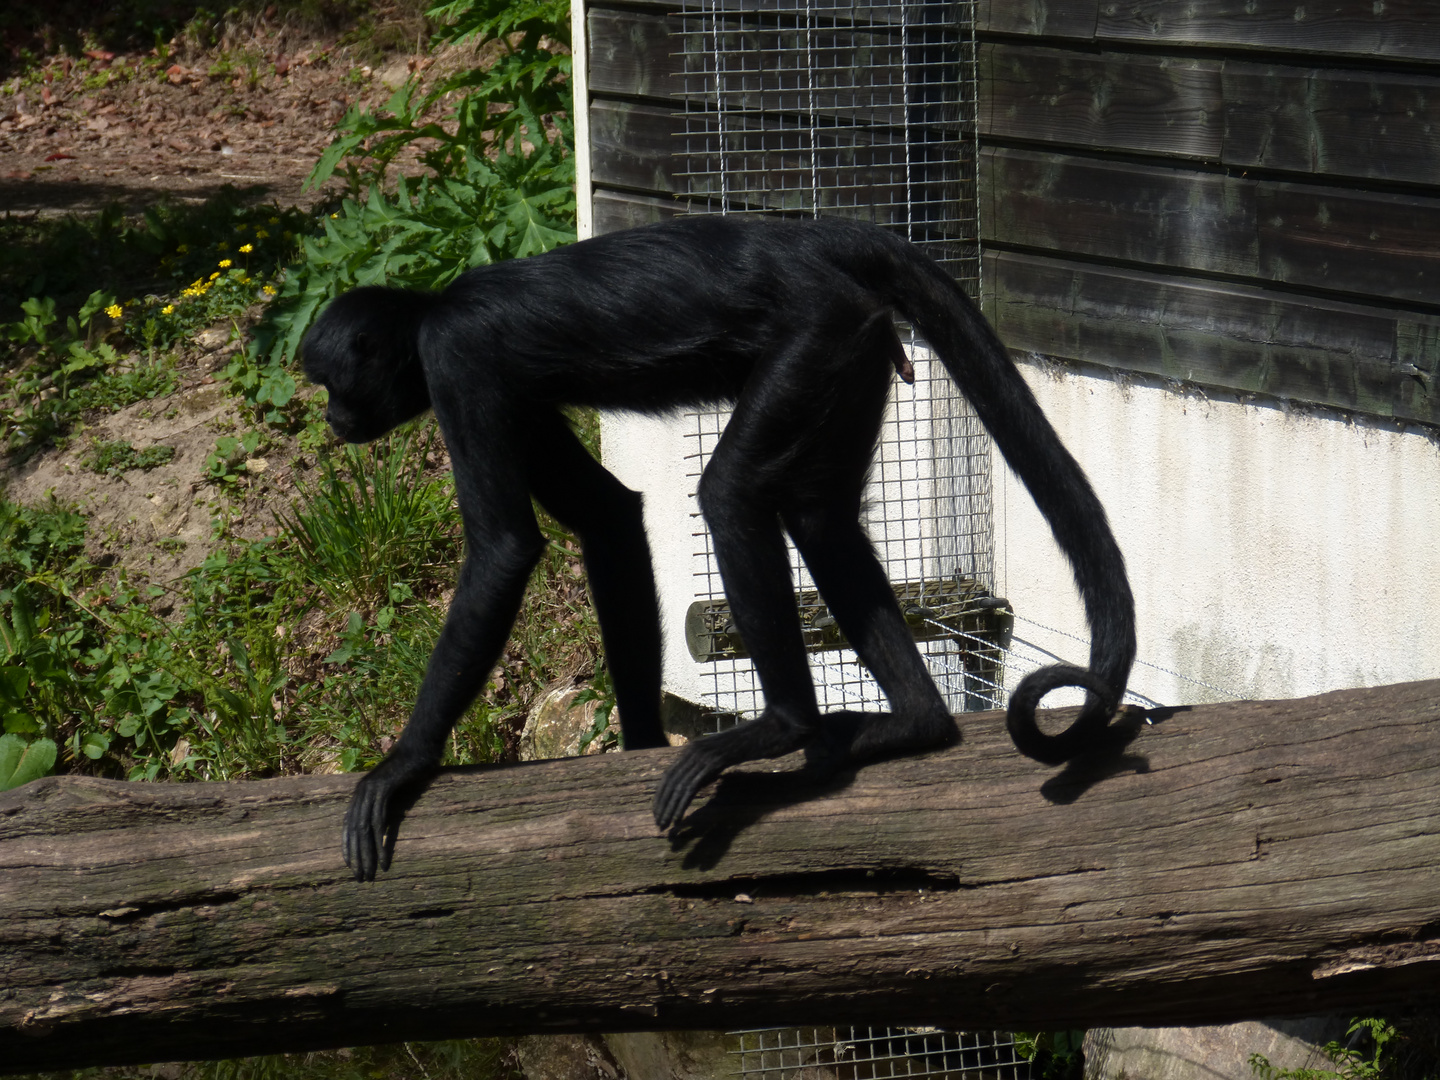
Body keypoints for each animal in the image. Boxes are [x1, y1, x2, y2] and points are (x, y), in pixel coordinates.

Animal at [303, 216, 1134, 881]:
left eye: (332, 382)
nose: (332, 418)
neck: (435, 308)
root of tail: (799, 238)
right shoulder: (513, 396)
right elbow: (608, 516)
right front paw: (639, 740)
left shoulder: (460, 361)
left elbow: (505, 549)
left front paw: (402, 766)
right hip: (858, 349)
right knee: (819, 516)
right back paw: (915, 723)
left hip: (817, 334)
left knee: (733, 493)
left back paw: (784, 727)